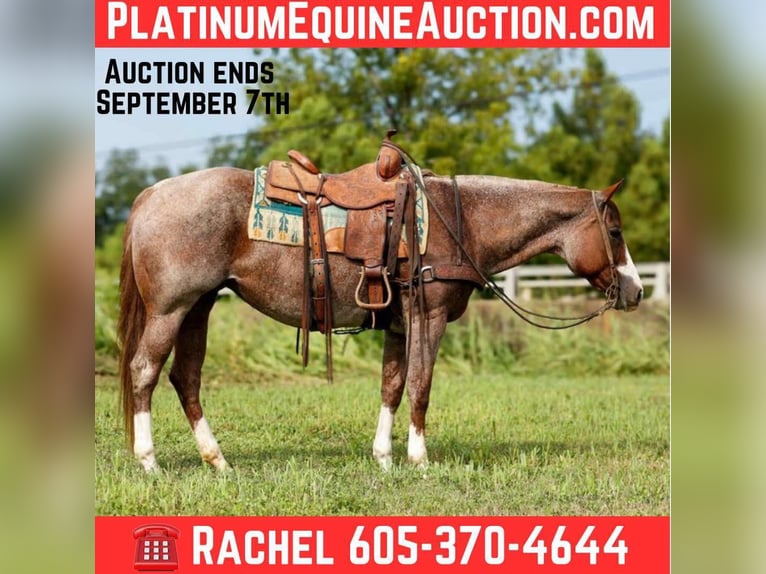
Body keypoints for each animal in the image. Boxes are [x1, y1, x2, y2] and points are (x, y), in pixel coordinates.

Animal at [117, 166, 643, 472]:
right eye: (615, 232)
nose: (636, 291)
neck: (463, 221)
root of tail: (149, 196)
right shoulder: (429, 317)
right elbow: (420, 386)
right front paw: (420, 459)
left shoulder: (397, 323)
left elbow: (392, 386)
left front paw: (385, 458)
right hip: (171, 309)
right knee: (145, 372)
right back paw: (149, 462)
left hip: (199, 307)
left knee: (186, 378)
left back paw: (219, 462)